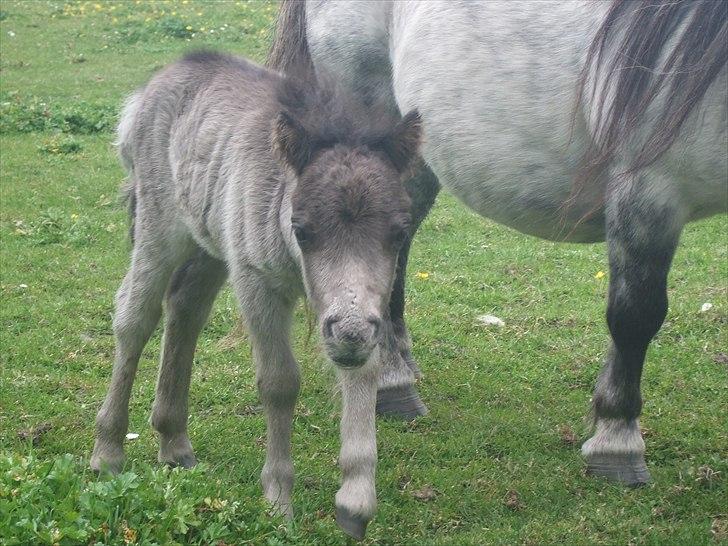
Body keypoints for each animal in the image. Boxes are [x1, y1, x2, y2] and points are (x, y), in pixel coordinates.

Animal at [91, 51, 424, 536]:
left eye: (399, 234)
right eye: (302, 230)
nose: (349, 333)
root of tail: (163, 77)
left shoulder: (367, 308)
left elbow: (364, 370)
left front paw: (355, 499)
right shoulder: (256, 281)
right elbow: (279, 382)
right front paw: (278, 501)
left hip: (210, 241)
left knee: (185, 308)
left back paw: (173, 442)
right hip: (159, 227)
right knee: (134, 318)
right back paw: (108, 451)